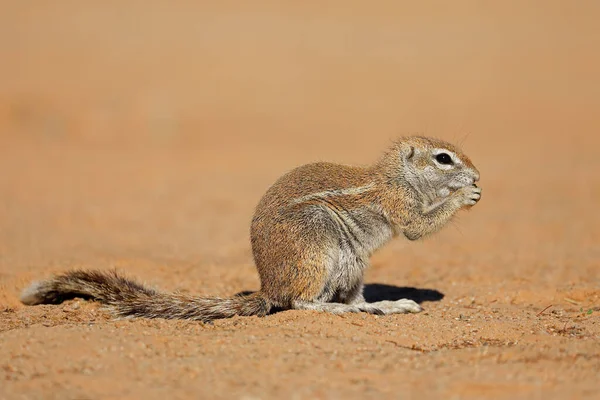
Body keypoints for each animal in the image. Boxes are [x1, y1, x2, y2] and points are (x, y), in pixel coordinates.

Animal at [19, 136, 482, 320]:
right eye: (444, 158)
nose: (478, 175)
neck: (396, 176)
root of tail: (268, 287)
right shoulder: (398, 203)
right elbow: (418, 227)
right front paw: (464, 196)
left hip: (351, 265)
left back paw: (383, 305)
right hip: (317, 248)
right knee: (300, 303)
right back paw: (347, 309)